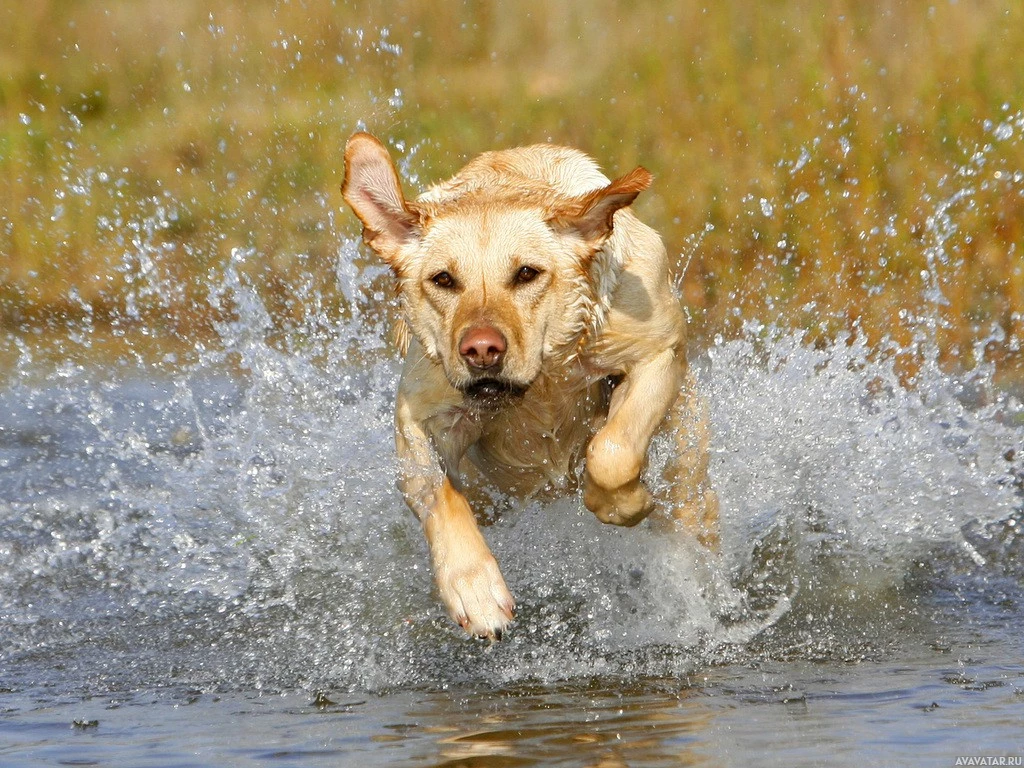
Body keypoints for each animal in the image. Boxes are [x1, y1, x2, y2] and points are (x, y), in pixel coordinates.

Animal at [339, 134, 716, 643]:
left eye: (526, 273)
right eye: (443, 279)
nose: (481, 350)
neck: (542, 384)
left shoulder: (656, 353)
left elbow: (612, 451)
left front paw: (627, 503)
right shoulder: (419, 411)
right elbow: (438, 493)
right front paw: (475, 591)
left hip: (690, 477)